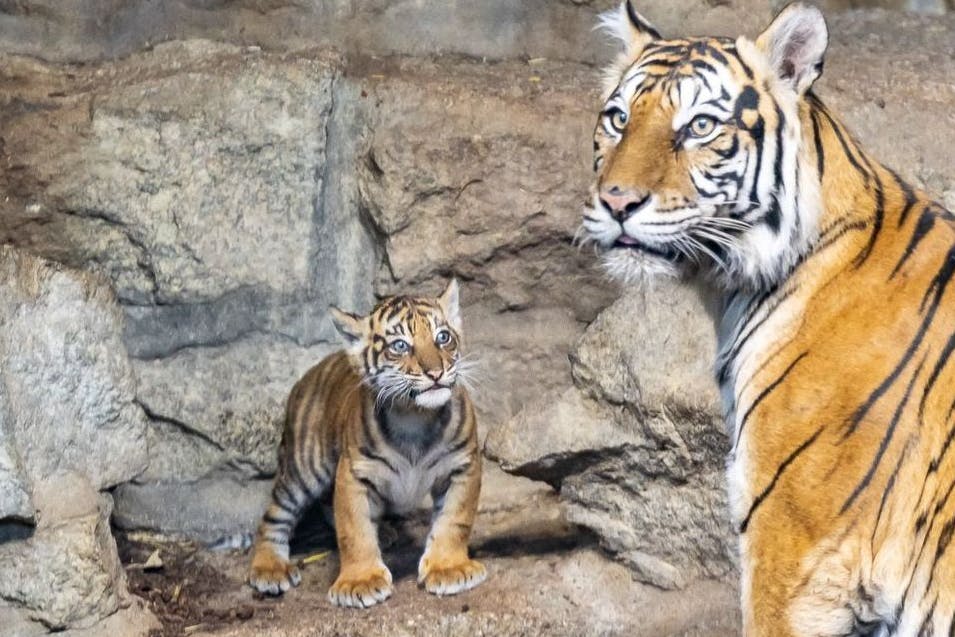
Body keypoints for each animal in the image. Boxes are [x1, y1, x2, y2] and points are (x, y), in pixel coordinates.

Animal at [247, 280, 486, 608]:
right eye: (400, 345)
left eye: (443, 337)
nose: (436, 372)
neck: (415, 418)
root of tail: (309, 373)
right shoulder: (353, 473)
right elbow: (354, 530)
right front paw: (360, 582)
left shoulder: (463, 466)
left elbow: (454, 521)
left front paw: (449, 568)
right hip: (303, 469)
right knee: (274, 516)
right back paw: (269, 568)